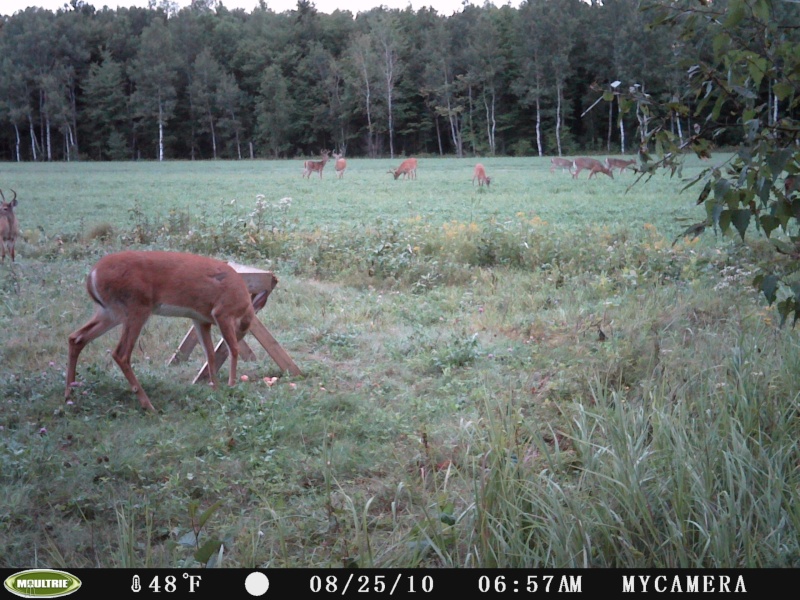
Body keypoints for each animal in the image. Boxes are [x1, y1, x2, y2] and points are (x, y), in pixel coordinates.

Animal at [66, 250, 262, 412]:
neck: (244, 306)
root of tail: (92, 274)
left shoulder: (200, 319)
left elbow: (210, 354)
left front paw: (216, 389)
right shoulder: (223, 312)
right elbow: (233, 350)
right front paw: (230, 386)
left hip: (111, 311)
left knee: (76, 338)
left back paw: (69, 395)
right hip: (136, 307)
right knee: (120, 353)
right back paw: (148, 404)